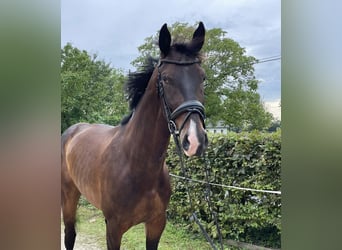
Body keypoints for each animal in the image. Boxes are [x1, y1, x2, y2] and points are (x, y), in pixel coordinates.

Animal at [60, 22, 208, 250]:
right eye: (166, 79)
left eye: (202, 77)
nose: (195, 140)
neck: (137, 165)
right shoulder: (113, 228)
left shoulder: (156, 224)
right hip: (68, 196)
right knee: (69, 235)